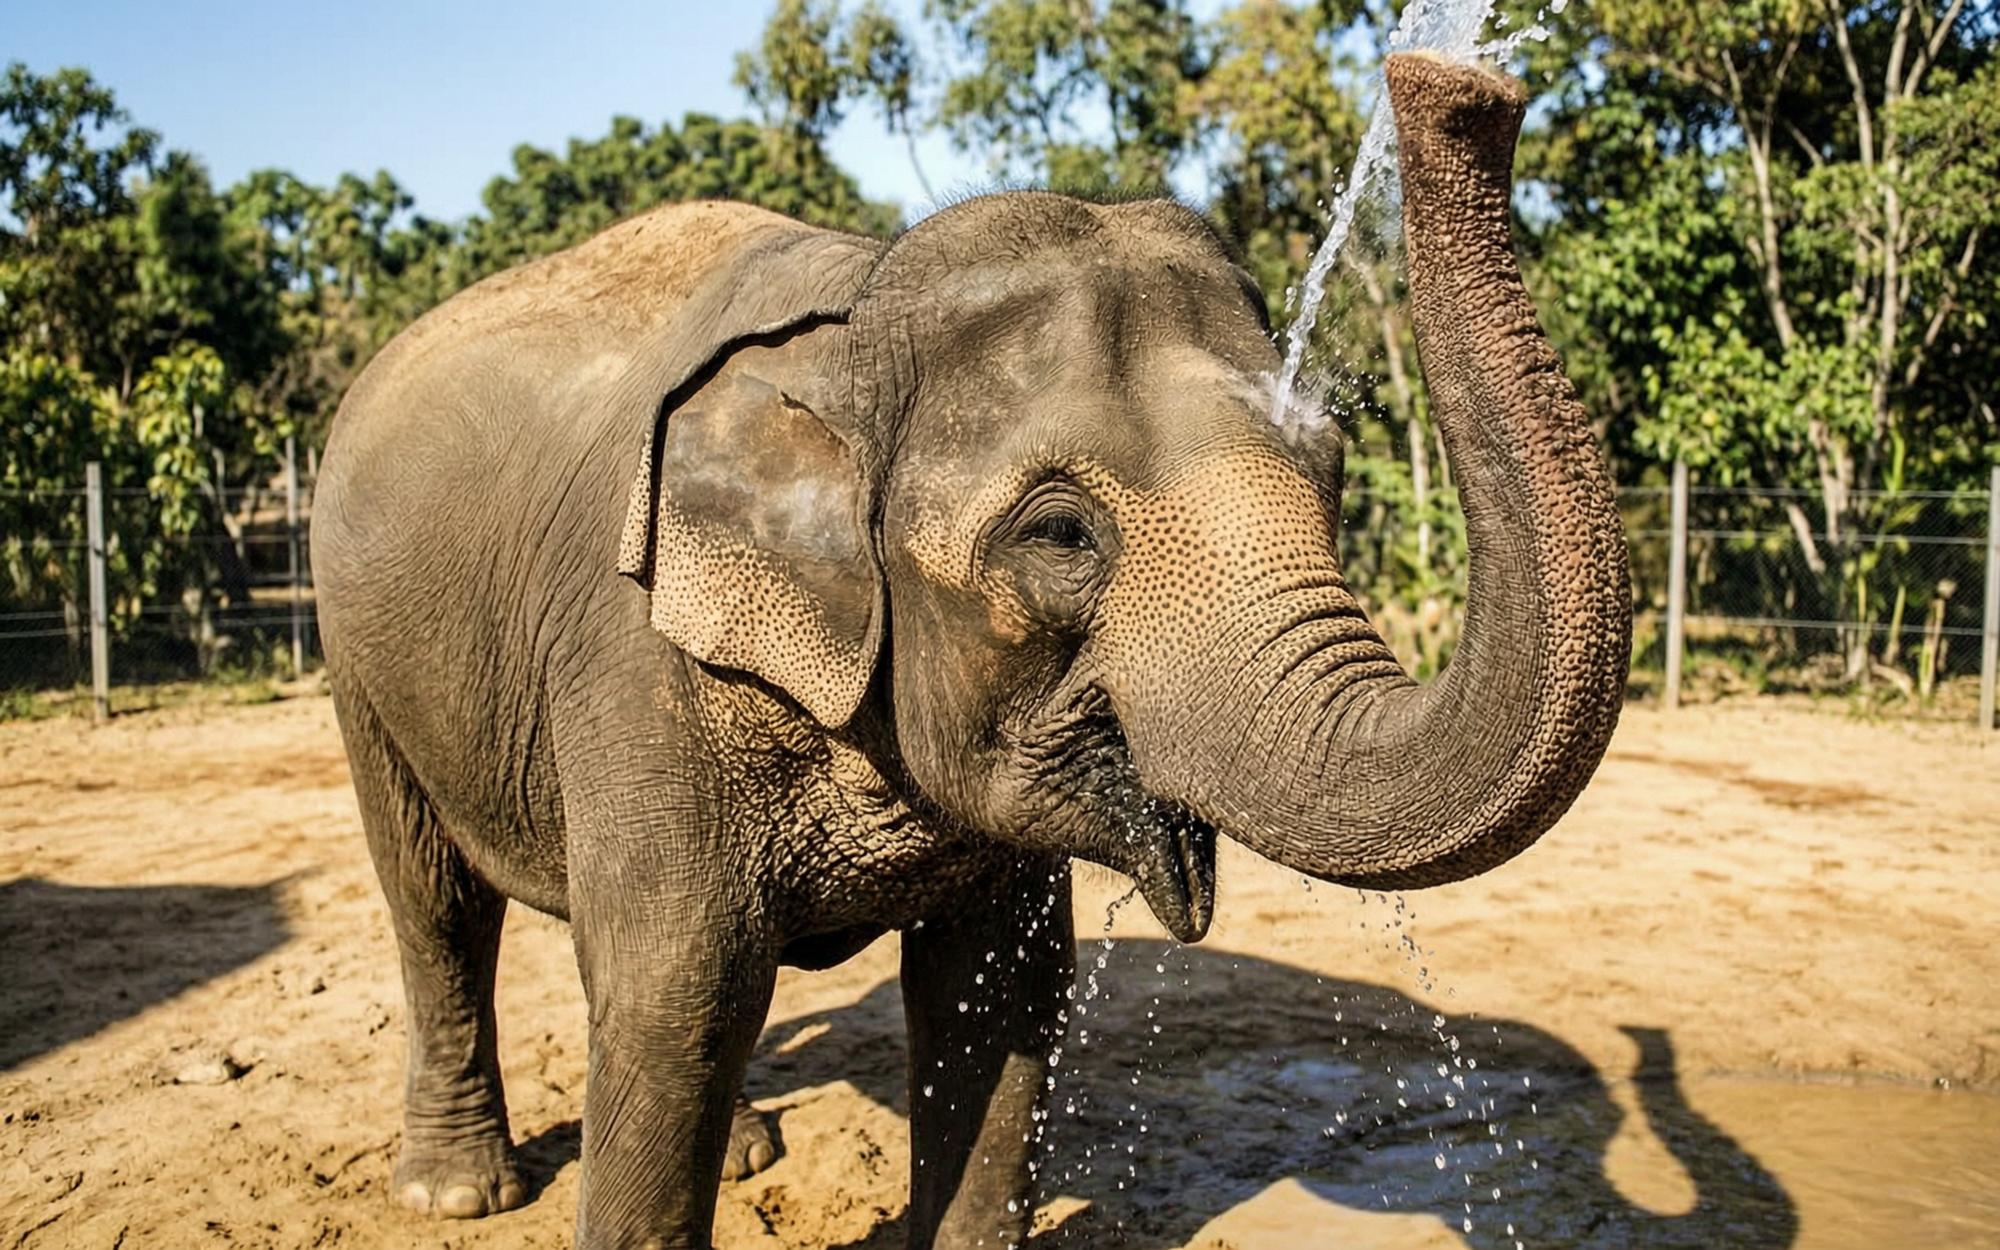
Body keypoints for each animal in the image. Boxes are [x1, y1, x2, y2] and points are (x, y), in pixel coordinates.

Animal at [310, 53, 1629, 1250]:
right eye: (1059, 532)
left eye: (1331, 468)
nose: (1457, 81)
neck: (855, 310)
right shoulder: (639, 660)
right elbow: (676, 984)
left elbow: (995, 995)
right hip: (351, 639)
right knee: (434, 896)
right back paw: (458, 1192)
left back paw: (739, 1154)